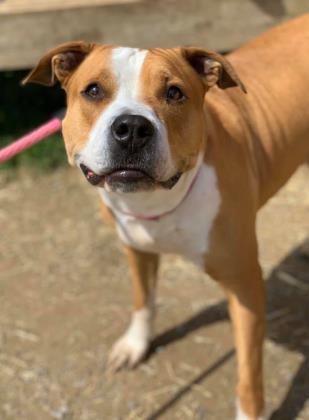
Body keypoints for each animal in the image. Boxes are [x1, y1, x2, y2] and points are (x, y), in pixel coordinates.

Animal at [22, 13, 308, 420]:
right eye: (93, 91)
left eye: (174, 93)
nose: (131, 128)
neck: (156, 203)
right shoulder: (136, 248)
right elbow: (144, 300)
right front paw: (135, 345)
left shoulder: (245, 285)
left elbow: (249, 374)